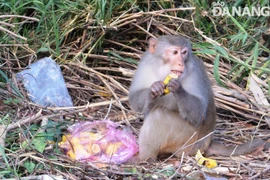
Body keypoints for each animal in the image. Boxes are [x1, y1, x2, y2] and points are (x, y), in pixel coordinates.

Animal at [129, 34, 266, 160]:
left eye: (184, 53)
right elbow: (134, 99)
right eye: (174, 52)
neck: (163, 69)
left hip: (188, 142)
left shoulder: (195, 71)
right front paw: (153, 89)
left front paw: (178, 88)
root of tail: (207, 143)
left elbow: (198, 113)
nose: (181, 63)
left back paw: (143, 158)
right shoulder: (145, 62)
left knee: (159, 116)